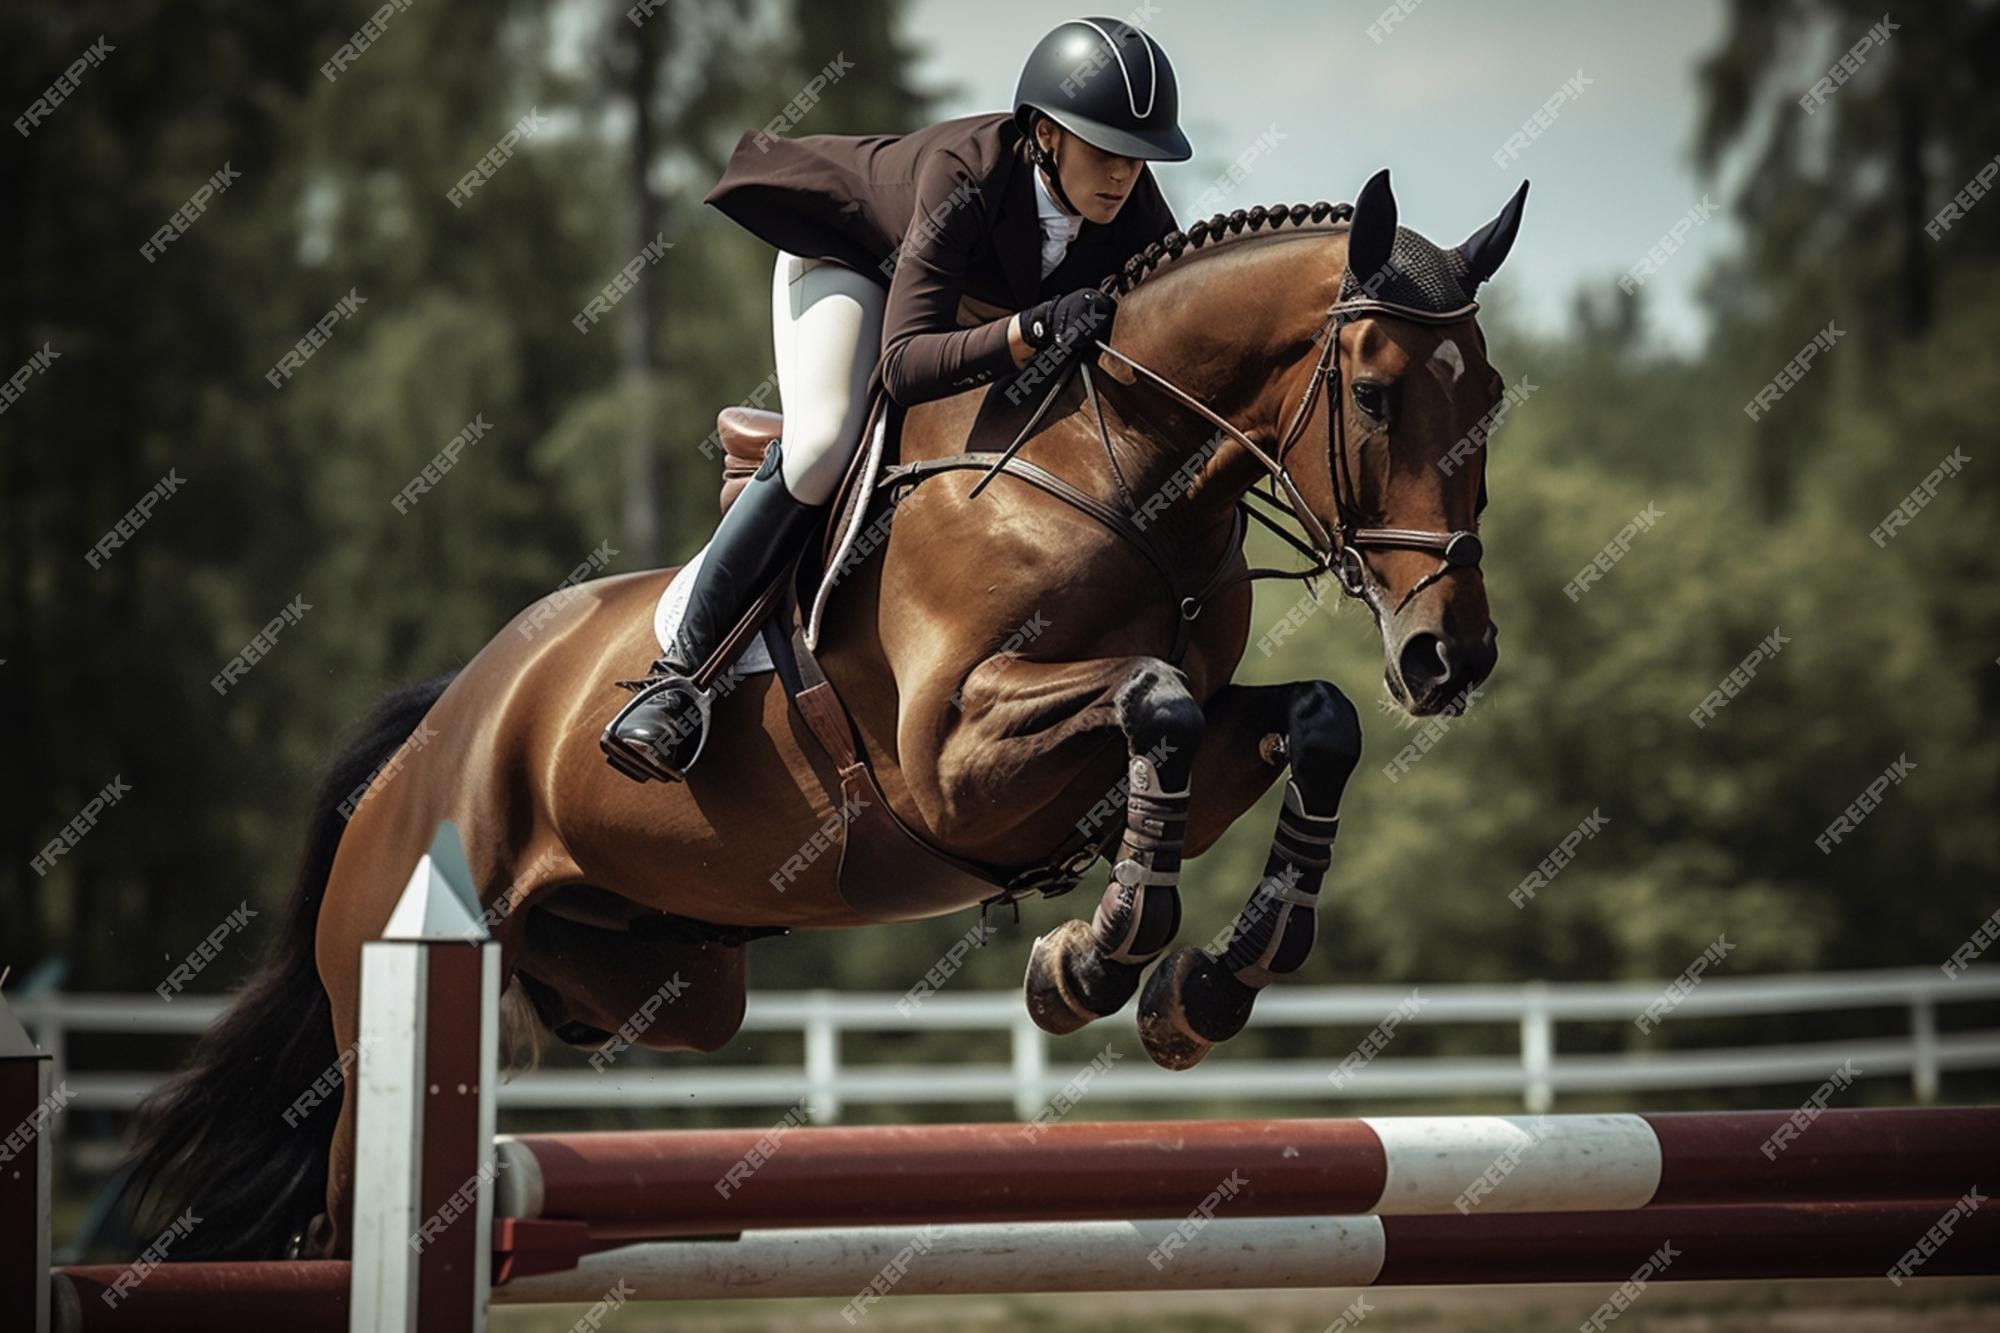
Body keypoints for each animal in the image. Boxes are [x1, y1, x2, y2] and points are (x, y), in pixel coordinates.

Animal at [125, 169, 1520, 1256]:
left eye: (1493, 395)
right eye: (1377, 393)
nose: (1449, 658)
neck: (1112, 465)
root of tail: (433, 731)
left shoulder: (1152, 748)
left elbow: (1311, 722)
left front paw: (1205, 984)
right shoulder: (956, 760)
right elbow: (1155, 700)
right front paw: (1097, 953)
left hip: (662, 979)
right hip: (393, 986)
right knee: (333, 1208)